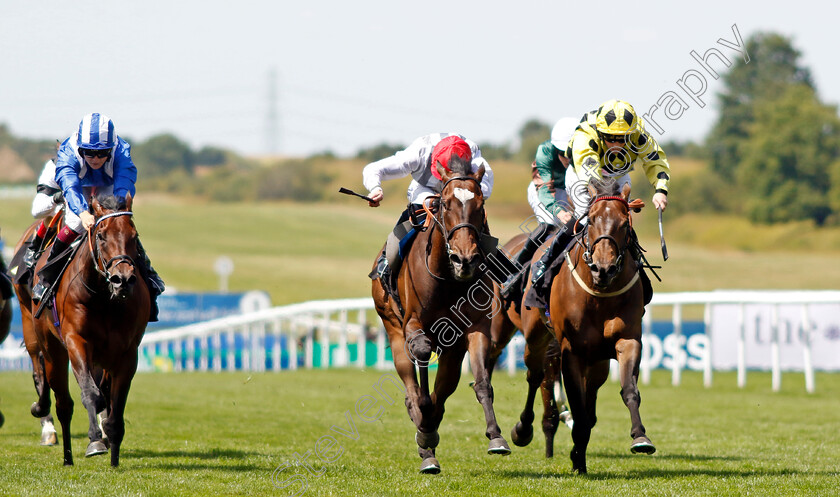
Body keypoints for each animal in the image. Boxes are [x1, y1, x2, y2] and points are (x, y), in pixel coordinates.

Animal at [16, 194, 148, 464]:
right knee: (60, 398)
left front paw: (113, 454)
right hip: (44, 340)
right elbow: (91, 394)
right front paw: (95, 441)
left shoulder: (127, 351)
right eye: (102, 235)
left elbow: (115, 404)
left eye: (134, 235)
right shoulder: (76, 341)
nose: (123, 279)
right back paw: (65, 452)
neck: (103, 298)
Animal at [374, 158, 512, 472]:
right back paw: (423, 432)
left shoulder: (475, 328)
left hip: (452, 349)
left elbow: (482, 380)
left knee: (444, 388)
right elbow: (422, 356)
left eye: (480, 204)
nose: (465, 259)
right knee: (412, 377)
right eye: (445, 204)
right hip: (392, 326)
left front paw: (496, 437)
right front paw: (423, 425)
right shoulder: (413, 323)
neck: (448, 278)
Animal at [548, 179, 660, 472]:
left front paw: (640, 437)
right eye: (592, 220)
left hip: (597, 364)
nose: (604, 269)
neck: (599, 295)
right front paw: (577, 456)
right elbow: (577, 406)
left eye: (624, 223)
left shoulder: (628, 339)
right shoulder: (571, 351)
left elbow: (630, 390)